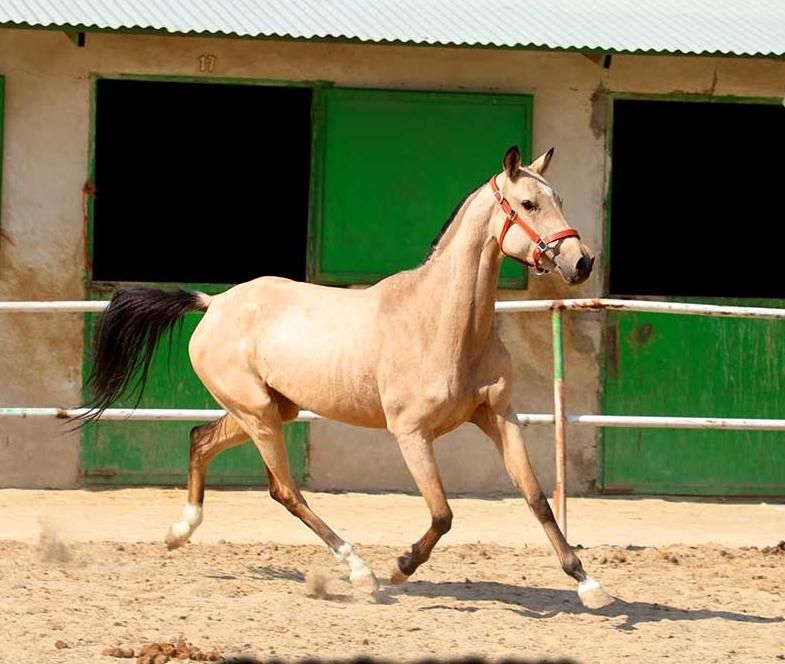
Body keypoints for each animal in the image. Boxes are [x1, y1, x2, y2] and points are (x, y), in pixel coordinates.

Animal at [82, 147, 612, 612]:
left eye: (559, 199)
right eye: (528, 204)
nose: (581, 261)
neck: (442, 323)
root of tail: (215, 304)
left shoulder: (499, 416)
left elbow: (537, 499)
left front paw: (589, 585)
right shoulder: (411, 433)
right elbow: (442, 514)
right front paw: (401, 567)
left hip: (269, 410)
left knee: (201, 440)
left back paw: (179, 533)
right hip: (257, 414)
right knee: (286, 491)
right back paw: (361, 572)